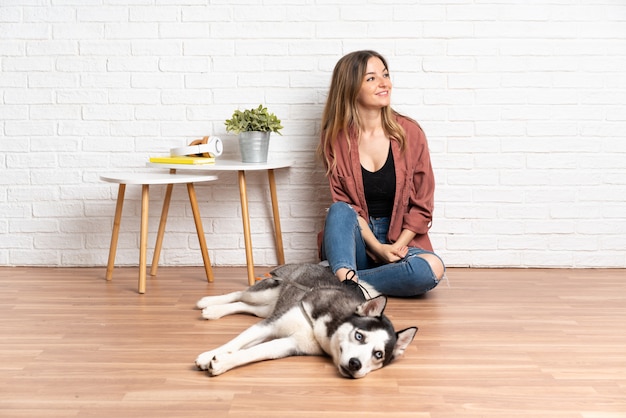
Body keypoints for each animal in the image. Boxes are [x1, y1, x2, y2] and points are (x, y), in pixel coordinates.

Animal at [194, 264, 414, 378]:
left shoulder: (289, 343)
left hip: (268, 308)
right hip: (264, 295)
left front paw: (223, 362)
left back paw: (214, 311)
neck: (320, 329)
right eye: (359, 336)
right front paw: (208, 356)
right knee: (241, 294)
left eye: (378, 354)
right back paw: (209, 302)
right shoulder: (271, 324)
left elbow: (256, 352)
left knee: (246, 306)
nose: (355, 364)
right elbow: (235, 343)